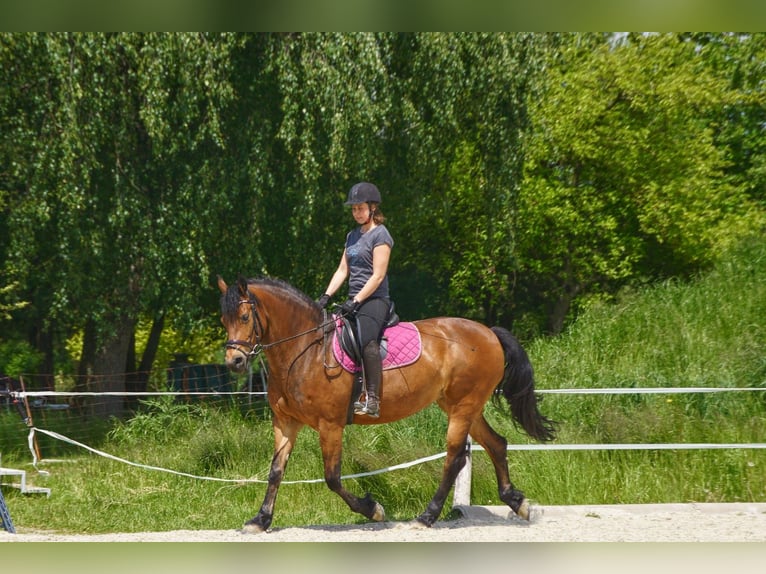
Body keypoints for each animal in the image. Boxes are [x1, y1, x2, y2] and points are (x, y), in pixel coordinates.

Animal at [217, 275, 556, 533]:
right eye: (224, 319)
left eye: (245, 317)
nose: (235, 361)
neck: (305, 351)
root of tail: (489, 332)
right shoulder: (286, 422)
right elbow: (276, 471)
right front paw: (260, 520)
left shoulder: (330, 425)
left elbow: (332, 477)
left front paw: (373, 509)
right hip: (460, 405)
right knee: (495, 443)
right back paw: (518, 503)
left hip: (463, 406)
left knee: (454, 457)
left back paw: (427, 516)